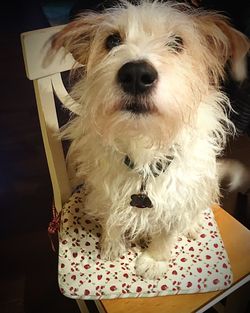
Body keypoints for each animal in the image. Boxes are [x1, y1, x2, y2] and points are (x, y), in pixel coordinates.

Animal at [51, 0, 249, 278]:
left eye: (177, 42)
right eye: (112, 40)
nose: (136, 75)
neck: (143, 143)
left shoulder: (177, 198)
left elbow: (167, 232)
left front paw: (155, 259)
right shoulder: (105, 189)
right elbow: (112, 218)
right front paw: (112, 245)